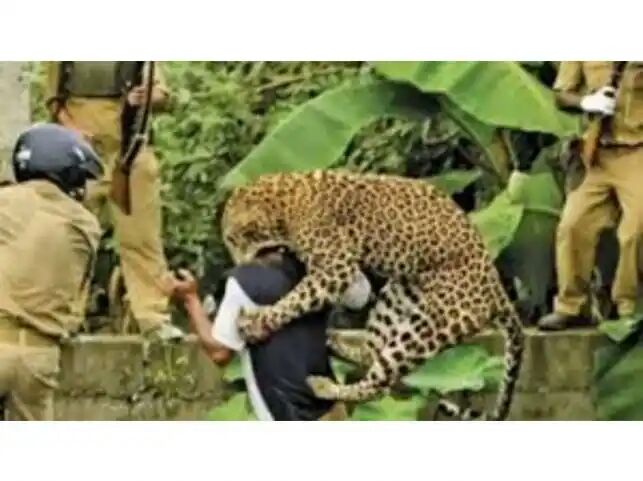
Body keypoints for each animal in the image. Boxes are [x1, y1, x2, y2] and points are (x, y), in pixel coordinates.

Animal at [221, 169, 524, 420]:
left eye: (233, 239)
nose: (235, 263)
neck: (282, 204)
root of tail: (497, 290)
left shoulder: (335, 269)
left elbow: (295, 300)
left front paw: (257, 322)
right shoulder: (347, 272)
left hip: (427, 329)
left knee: (380, 383)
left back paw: (324, 386)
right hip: (397, 296)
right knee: (372, 351)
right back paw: (335, 340)